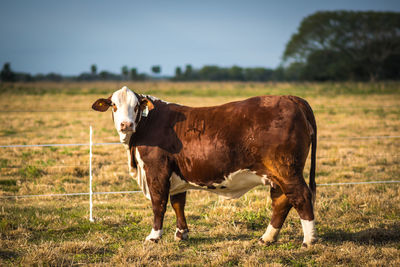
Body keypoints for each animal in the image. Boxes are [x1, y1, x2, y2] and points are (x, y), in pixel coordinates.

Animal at [92, 87, 318, 248]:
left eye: (137, 106)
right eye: (114, 105)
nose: (126, 125)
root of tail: (289, 97)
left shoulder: (156, 171)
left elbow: (159, 204)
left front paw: (154, 236)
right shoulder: (176, 174)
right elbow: (178, 203)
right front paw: (181, 233)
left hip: (287, 170)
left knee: (300, 196)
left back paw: (309, 241)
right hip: (276, 174)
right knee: (281, 201)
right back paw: (267, 238)